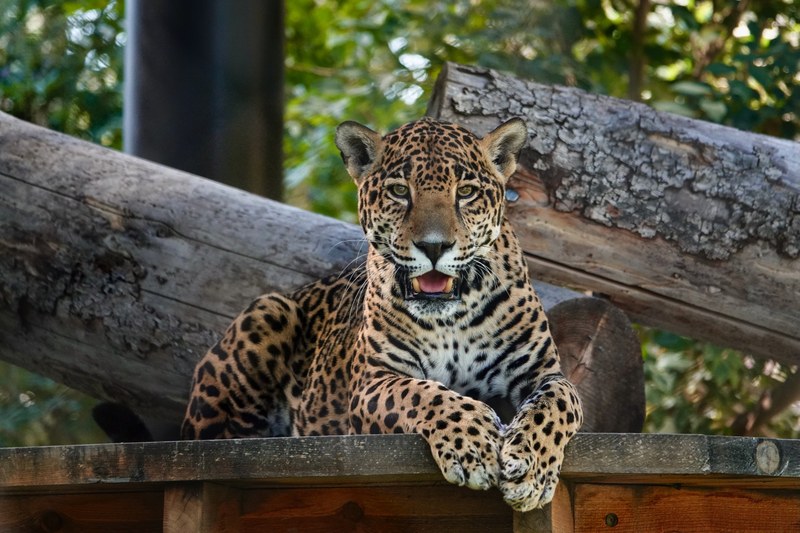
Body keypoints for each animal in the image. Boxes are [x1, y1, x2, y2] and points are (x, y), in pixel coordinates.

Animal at [181, 116, 583, 511]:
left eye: (466, 192)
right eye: (399, 191)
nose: (434, 247)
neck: (451, 318)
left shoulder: (542, 372)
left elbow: (559, 403)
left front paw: (532, 469)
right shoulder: (373, 381)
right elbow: (423, 393)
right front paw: (474, 444)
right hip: (267, 312)